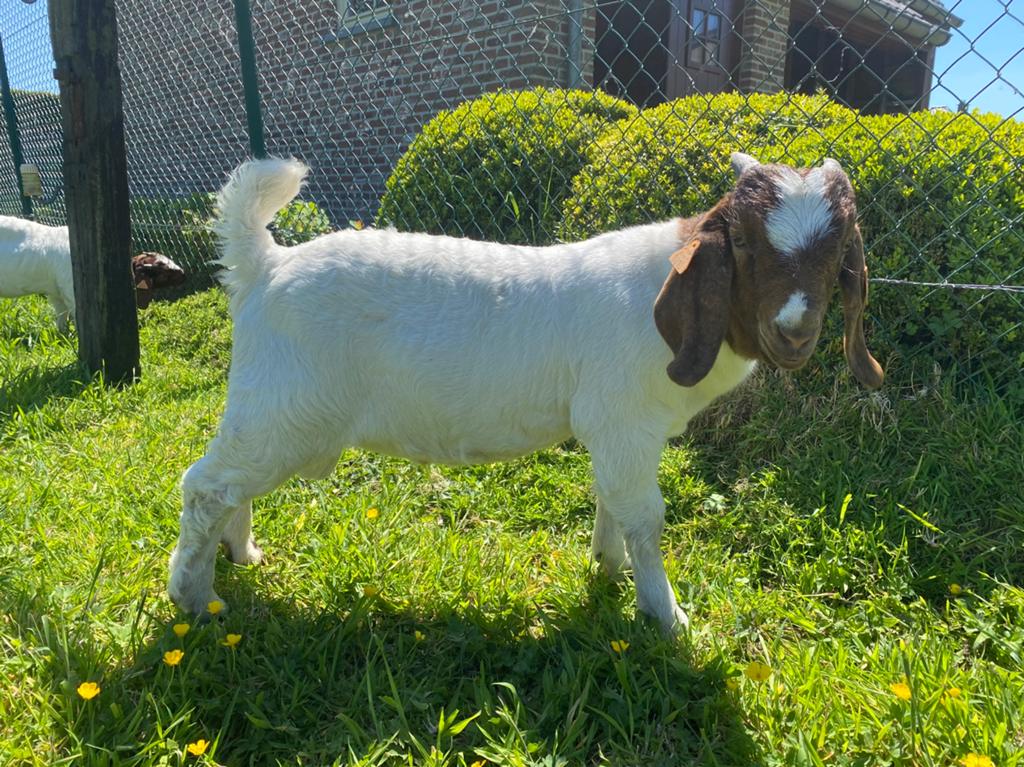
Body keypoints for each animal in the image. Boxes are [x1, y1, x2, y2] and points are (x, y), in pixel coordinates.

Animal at [168, 153, 883, 632]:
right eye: (742, 241)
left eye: (838, 252)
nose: (794, 331)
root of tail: (264, 266)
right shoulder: (622, 421)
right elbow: (646, 517)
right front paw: (667, 616)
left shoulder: (620, 434)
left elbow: (613, 502)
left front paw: (608, 570)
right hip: (285, 406)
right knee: (205, 486)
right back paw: (194, 598)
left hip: (276, 413)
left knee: (231, 486)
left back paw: (241, 554)